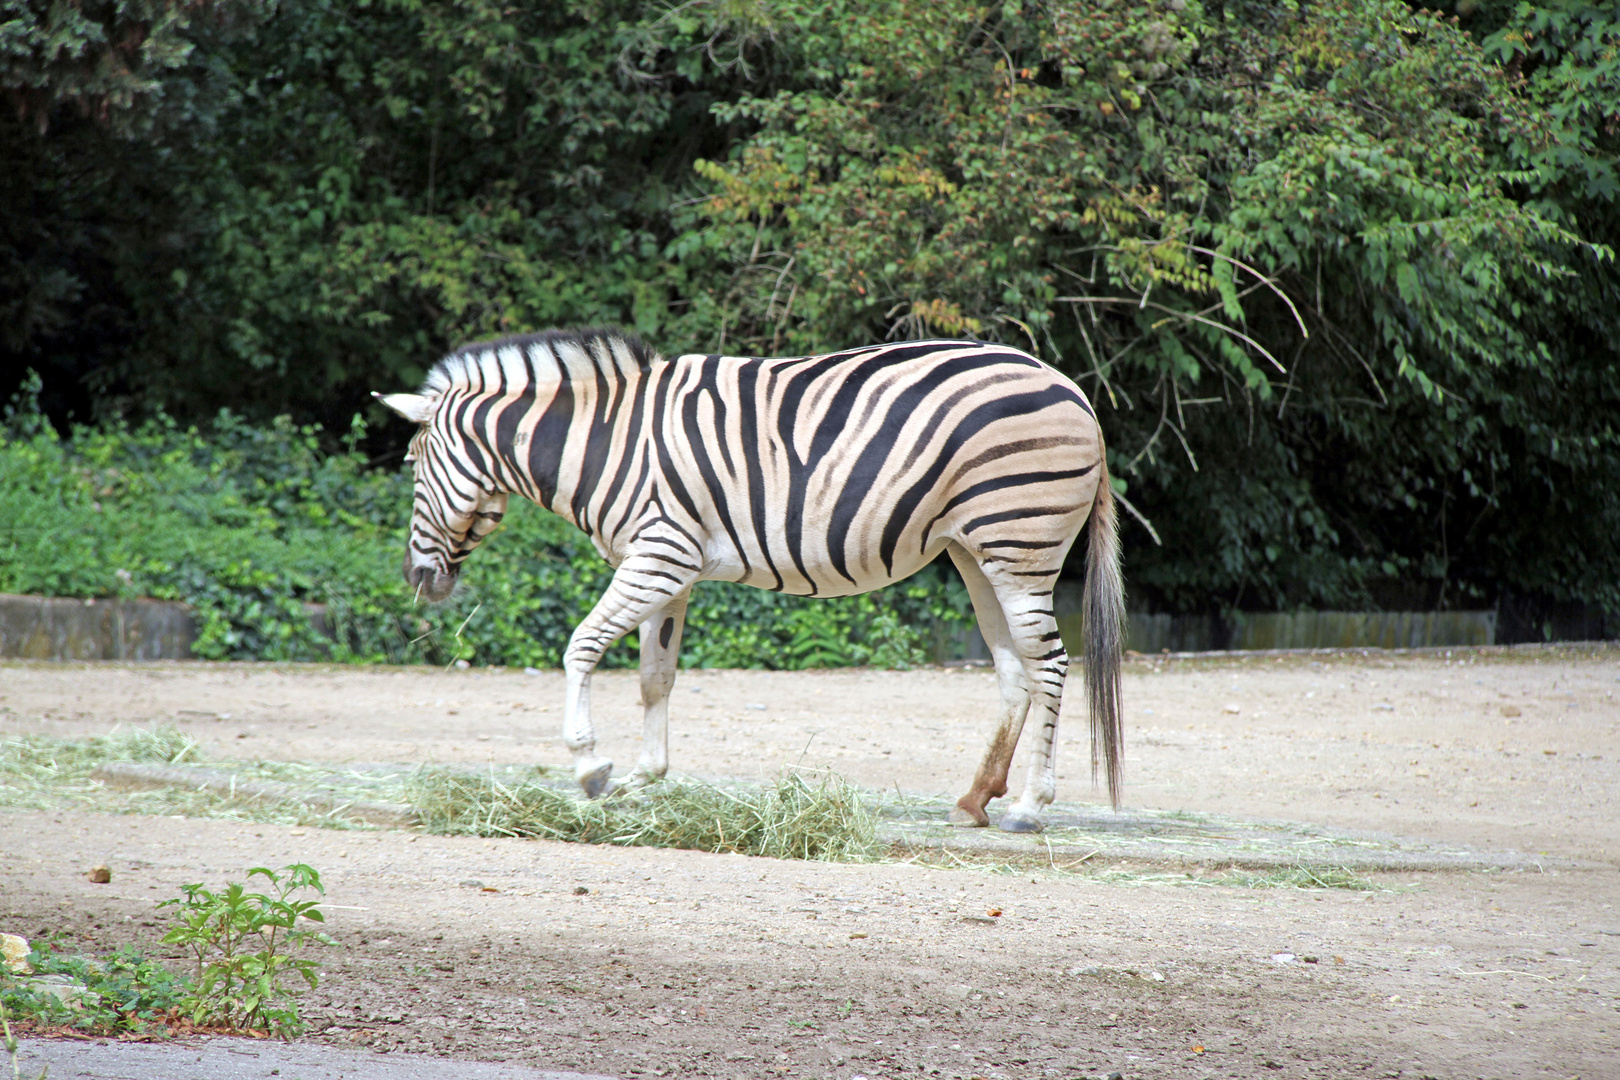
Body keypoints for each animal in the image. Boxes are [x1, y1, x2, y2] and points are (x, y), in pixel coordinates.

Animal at [375, 325, 1127, 835]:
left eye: (412, 463)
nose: (416, 579)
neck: (604, 442)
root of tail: (1075, 391)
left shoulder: (660, 554)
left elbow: (581, 647)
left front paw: (590, 767)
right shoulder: (668, 568)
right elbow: (655, 676)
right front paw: (646, 778)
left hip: (1019, 544)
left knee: (1051, 666)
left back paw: (1028, 806)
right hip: (976, 552)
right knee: (1014, 669)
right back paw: (975, 799)